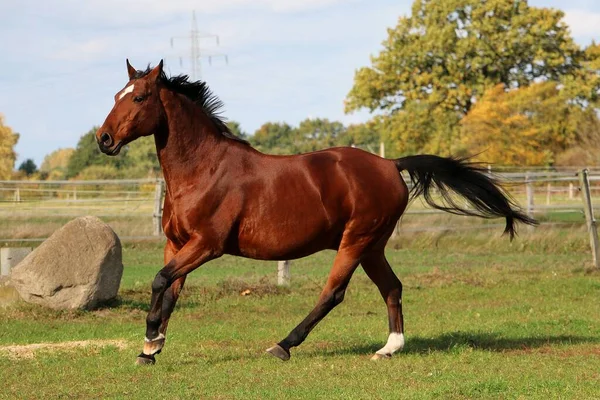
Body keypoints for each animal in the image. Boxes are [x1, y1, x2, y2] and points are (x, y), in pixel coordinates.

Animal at [96, 61, 536, 364]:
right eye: (115, 94)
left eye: (139, 97)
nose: (104, 140)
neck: (203, 169)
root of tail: (389, 164)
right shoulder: (176, 244)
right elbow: (169, 290)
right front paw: (151, 348)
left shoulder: (207, 245)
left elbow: (159, 280)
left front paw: (151, 340)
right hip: (373, 246)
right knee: (392, 288)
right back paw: (389, 349)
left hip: (355, 241)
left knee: (333, 293)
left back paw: (283, 345)